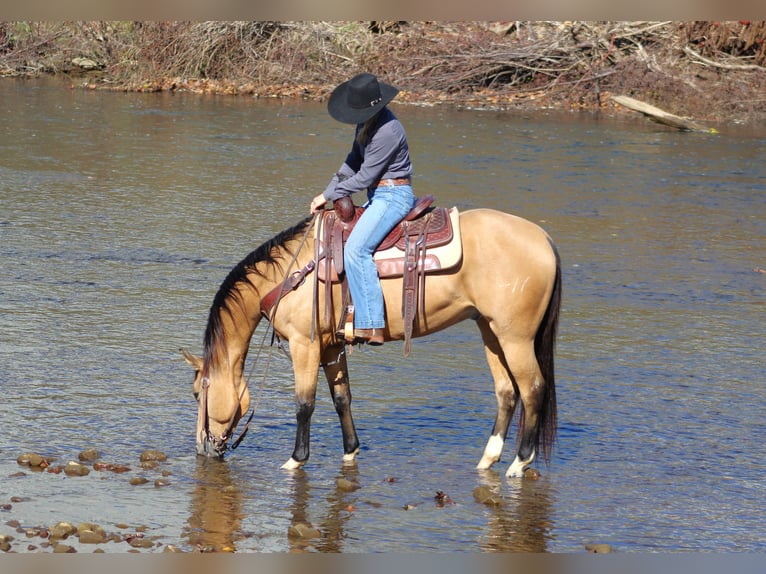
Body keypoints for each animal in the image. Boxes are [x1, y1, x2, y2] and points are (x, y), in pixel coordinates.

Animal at [182, 200, 560, 480]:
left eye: (199, 392)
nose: (203, 449)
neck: (292, 273)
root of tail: (544, 238)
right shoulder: (331, 346)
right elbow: (342, 398)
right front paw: (351, 450)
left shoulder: (304, 345)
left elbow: (304, 404)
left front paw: (296, 458)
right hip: (490, 330)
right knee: (506, 391)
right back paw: (487, 459)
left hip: (515, 337)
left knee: (532, 389)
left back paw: (519, 462)